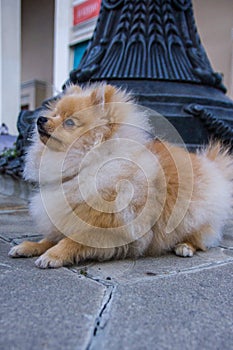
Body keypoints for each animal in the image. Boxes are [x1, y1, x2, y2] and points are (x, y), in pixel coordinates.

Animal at [8, 84, 233, 268]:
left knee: (202, 239)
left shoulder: (107, 227)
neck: (86, 164)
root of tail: (210, 165)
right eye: (54, 114)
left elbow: (71, 240)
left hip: (192, 216)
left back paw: (185, 246)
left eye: (69, 122)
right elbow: (50, 238)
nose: (40, 119)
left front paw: (53, 255)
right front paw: (30, 246)